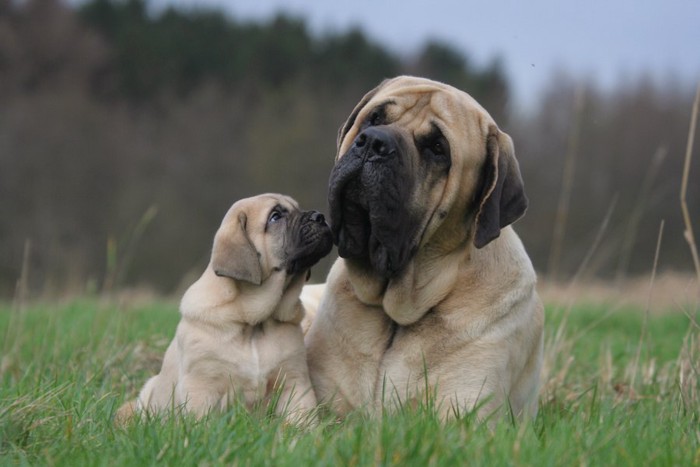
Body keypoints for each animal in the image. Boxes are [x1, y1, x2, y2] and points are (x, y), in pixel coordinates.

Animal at [115, 194, 334, 424]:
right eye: (275, 217)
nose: (319, 216)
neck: (254, 324)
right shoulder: (202, 385)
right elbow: (199, 422)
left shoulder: (294, 380)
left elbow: (302, 418)